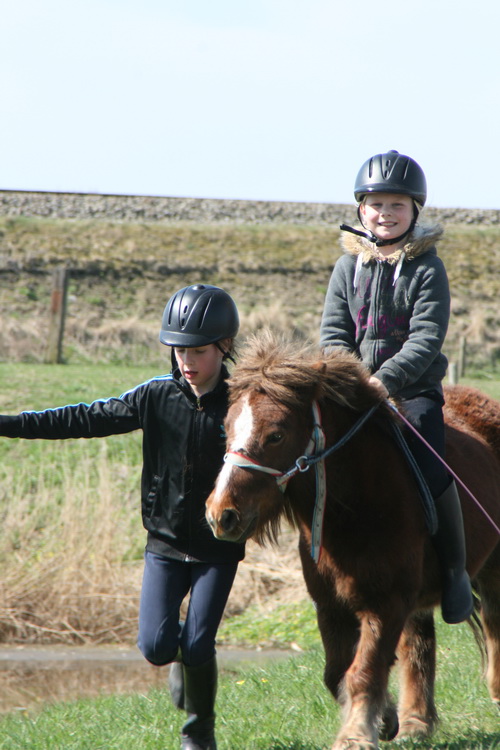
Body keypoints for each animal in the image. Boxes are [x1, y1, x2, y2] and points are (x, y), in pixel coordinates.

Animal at [205, 331, 500, 750]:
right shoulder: (331, 605)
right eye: (227, 428)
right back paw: (416, 721)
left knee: (492, 619)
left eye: (276, 434)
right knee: (419, 644)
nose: (221, 514)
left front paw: (357, 734)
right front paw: (386, 718)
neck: (354, 508)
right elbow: (337, 673)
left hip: (492, 568)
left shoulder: (386, 603)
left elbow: (363, 670)